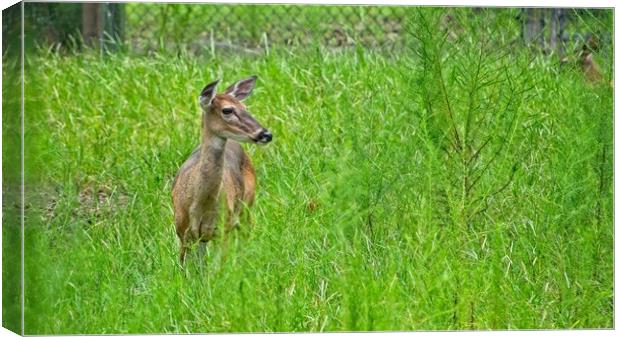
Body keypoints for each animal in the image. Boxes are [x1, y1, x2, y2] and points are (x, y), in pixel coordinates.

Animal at [173, 75, 272, 262]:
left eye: (245, 107)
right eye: (227, 110)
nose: (266, 134)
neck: (200, 205)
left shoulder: (222, 229)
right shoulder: (182, 231)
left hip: (247, 205)